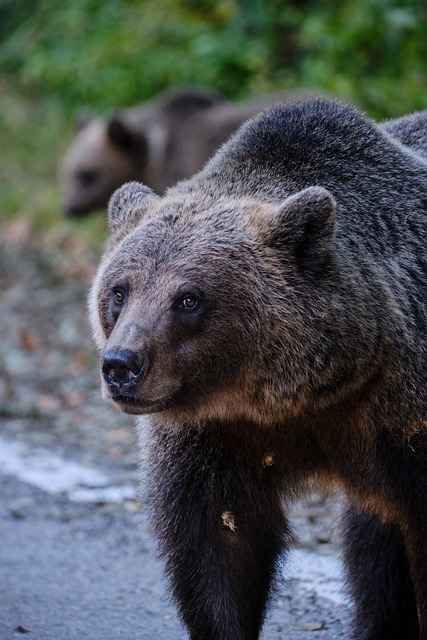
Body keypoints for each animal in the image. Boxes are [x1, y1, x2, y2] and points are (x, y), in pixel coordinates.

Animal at [89, 96, 427, 640]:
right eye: (119, 291)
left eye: (188, 298)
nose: (121, 365)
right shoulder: (214, 435)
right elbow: (218, 546)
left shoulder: (401, 415)